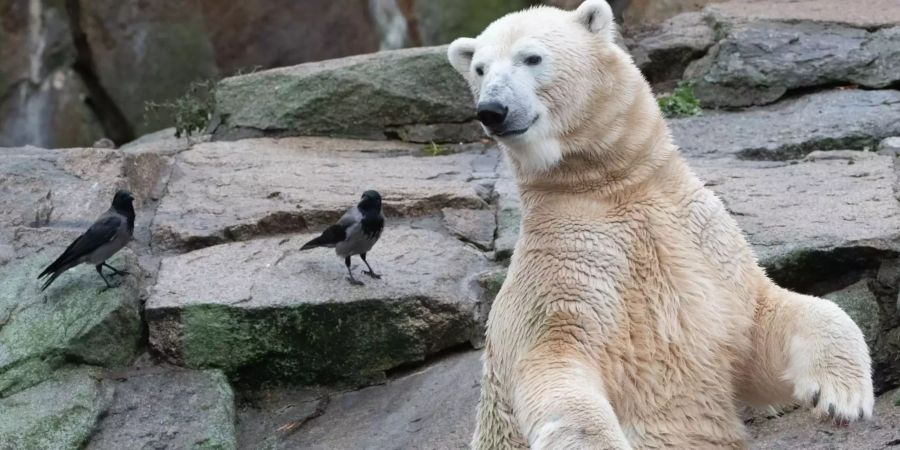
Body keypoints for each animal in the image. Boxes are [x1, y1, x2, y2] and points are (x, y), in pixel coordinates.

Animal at [446, 1, 876, 448]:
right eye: (479, 69)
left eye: (531, 57)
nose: (492, 110)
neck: (610, 185)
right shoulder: (563, 270)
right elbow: (556, 364)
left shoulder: (700, 239)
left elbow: (765, 323)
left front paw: (841, 397)